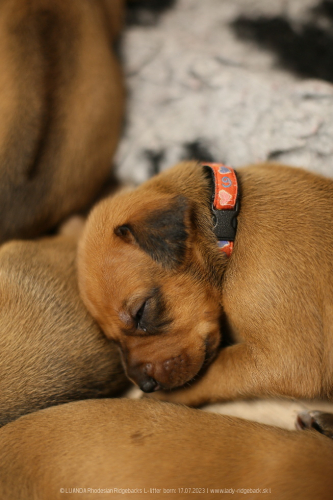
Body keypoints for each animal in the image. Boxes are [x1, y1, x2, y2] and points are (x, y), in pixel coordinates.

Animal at [77, 161, 332, 406]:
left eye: (141, 312)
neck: (227, 222)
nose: (145, 386)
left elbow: (217, 371)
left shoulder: (287, 361)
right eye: (111, 339)